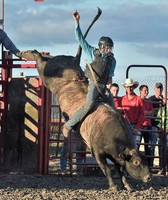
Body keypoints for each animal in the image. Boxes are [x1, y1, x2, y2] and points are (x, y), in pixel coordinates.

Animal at [17, 8, 152, 192]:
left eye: (145, 161)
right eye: (137, 162)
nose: (149, 177)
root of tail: (73, 60)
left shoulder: (117, 156)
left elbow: (121, 170)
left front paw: (127, 186)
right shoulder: (97, 152)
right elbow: (107, 169)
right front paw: (113, 186)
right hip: (46, 74)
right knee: (38, 58)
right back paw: (24, 53)